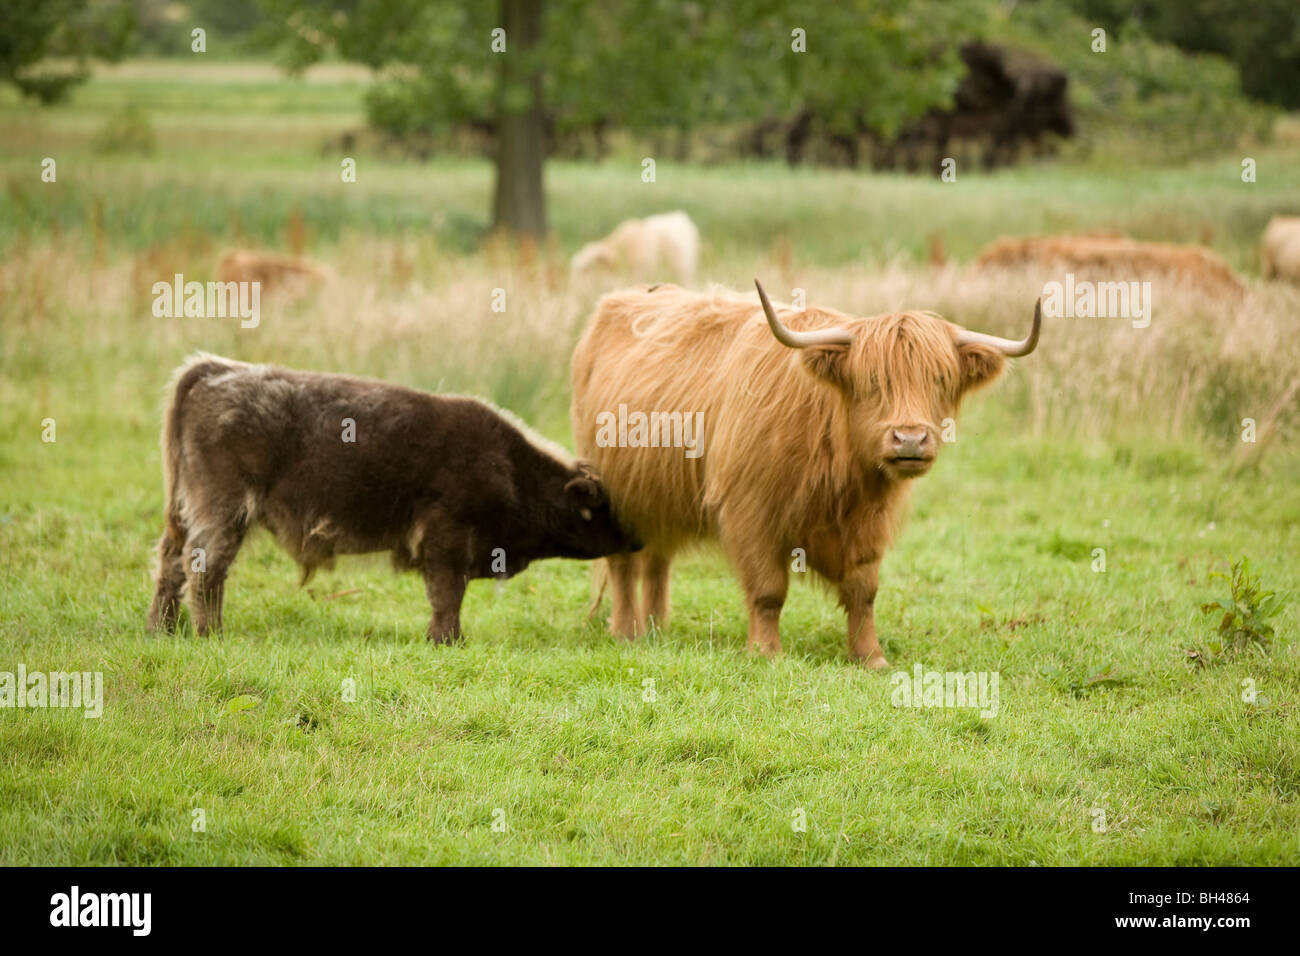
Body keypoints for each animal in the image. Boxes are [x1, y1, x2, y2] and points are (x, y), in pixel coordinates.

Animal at [147, 356, 639, 642]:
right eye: (601, 508)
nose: (637, 538)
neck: (511, 467)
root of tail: (215, 368)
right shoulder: (446, 538)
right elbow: (447, 594)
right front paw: (447, 639)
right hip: (223, 512)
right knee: (205, 567)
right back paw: (210, 632)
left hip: (187, 512)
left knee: (171, 563)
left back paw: (162, 628)